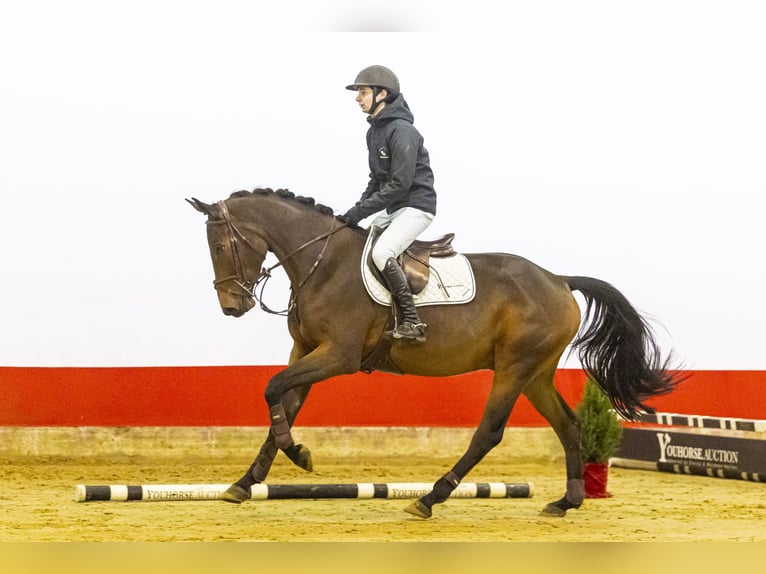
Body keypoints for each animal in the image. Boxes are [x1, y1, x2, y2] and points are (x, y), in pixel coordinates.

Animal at [188, 187, 684, 518]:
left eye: (220, 246)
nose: (232, 307)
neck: (322, 264)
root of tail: (559, 279)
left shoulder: (337, 355)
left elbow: (273, 389)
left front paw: (299, 455)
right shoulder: (304, 350)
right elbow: (281, 406)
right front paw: (247, 482)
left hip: (514, 368)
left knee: (489, 433)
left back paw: (431, 498)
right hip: (537, 374)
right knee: (569, 424)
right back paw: (567, 501)